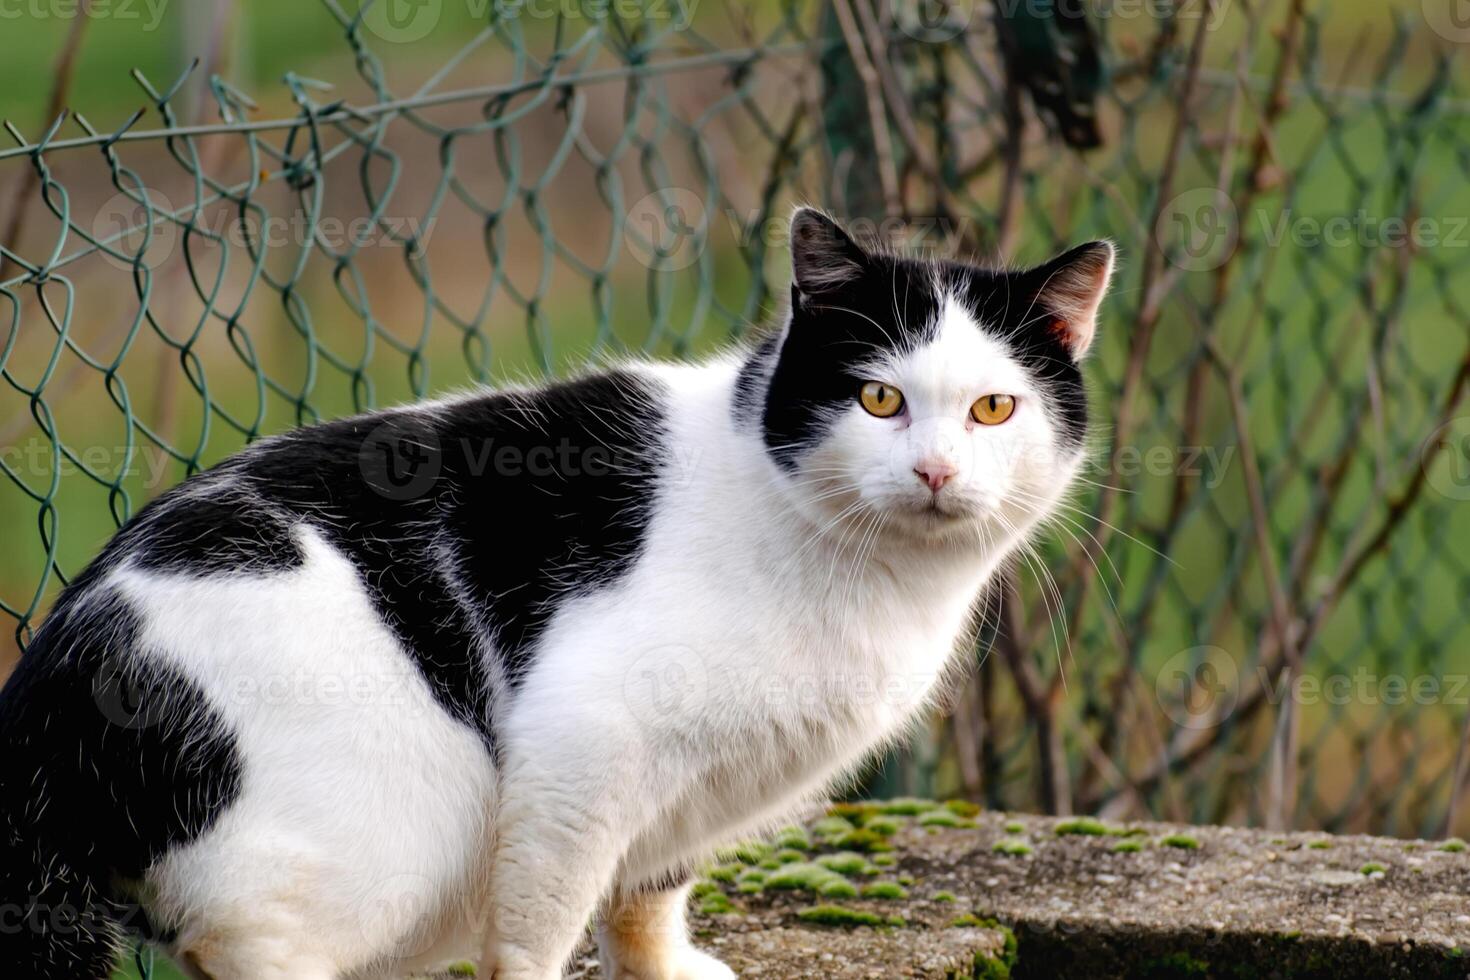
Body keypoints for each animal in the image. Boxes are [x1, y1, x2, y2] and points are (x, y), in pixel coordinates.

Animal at [0, 208, 1105, 980]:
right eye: (879, 397)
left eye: (994, 408)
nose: (935, 471)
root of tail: (50, 679)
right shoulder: (585, 740)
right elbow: (542, 914)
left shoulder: (682, 797)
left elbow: (648, 889)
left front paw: (659, 966)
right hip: (379, 822)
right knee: (254, 941)